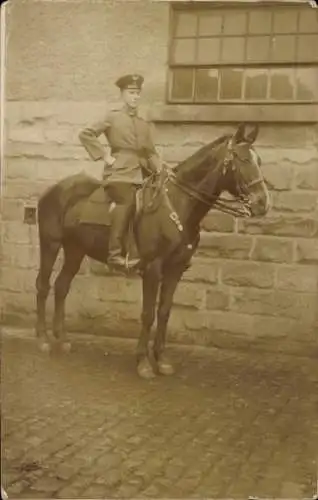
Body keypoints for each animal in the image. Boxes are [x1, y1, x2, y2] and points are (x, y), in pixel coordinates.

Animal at [34, 124, 270, 378]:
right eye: (242, 159)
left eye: (259, 160)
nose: (263, 203)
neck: (179, 204)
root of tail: (54, 189)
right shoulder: (152, 269)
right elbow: (148, 314)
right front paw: (143, 362)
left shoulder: (175, 269)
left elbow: (164, 311)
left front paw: (162, 359)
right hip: (50, 244)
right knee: (43, 286)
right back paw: (43, 339)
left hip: (75, 249)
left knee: (61, 287)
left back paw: (62, 339)